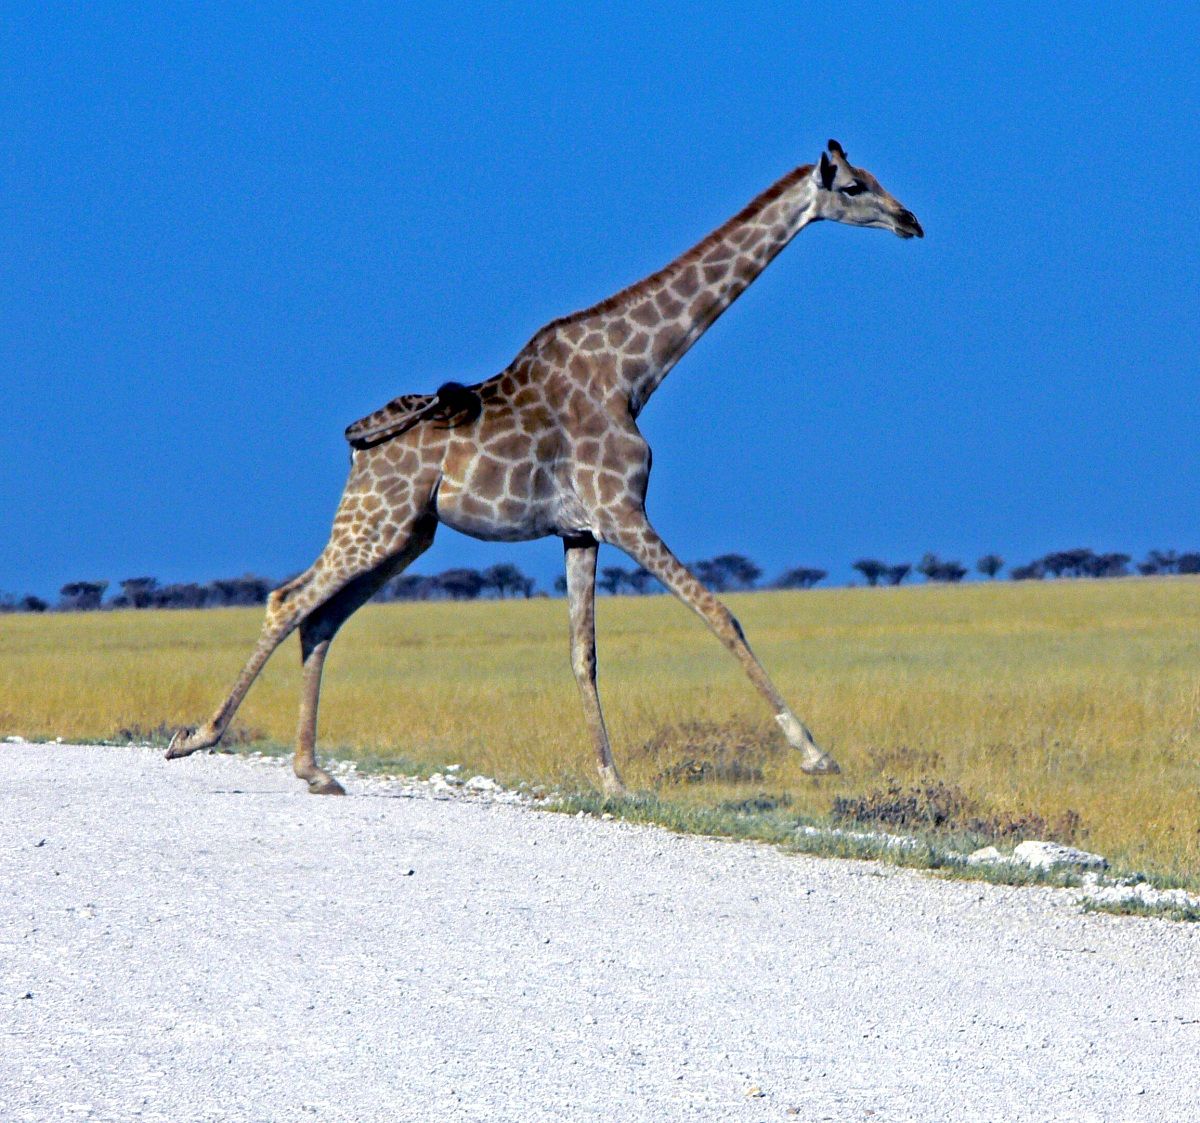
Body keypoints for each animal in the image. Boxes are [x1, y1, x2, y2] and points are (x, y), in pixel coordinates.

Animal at [167, 139, 923, 796]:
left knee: (320, 619)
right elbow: (720, 613)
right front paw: (815, 753)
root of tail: (357, 444)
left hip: (406, 535)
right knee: (286, 600)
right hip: (375, 521)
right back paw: (197, 737)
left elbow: (582, 654)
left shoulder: (580, 531)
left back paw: (313, 770)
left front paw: (613, 781)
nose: (910, 221)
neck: (633, 374)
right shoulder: (622, 512)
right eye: (854, 187)